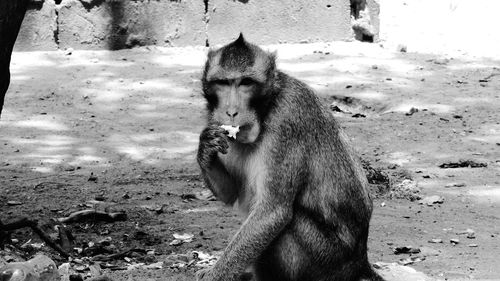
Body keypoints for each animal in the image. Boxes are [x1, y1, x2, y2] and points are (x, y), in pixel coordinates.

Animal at [195, 34, 382, 280]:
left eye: (246, 83)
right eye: (223, 83)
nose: (231, 112)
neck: (266, 109)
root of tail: (360, 261)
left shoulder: (287, 121)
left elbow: (272, 213)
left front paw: (215, 276)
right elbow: (231, 193)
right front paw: (205, 148)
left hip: (326, 257)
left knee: (287, 224)